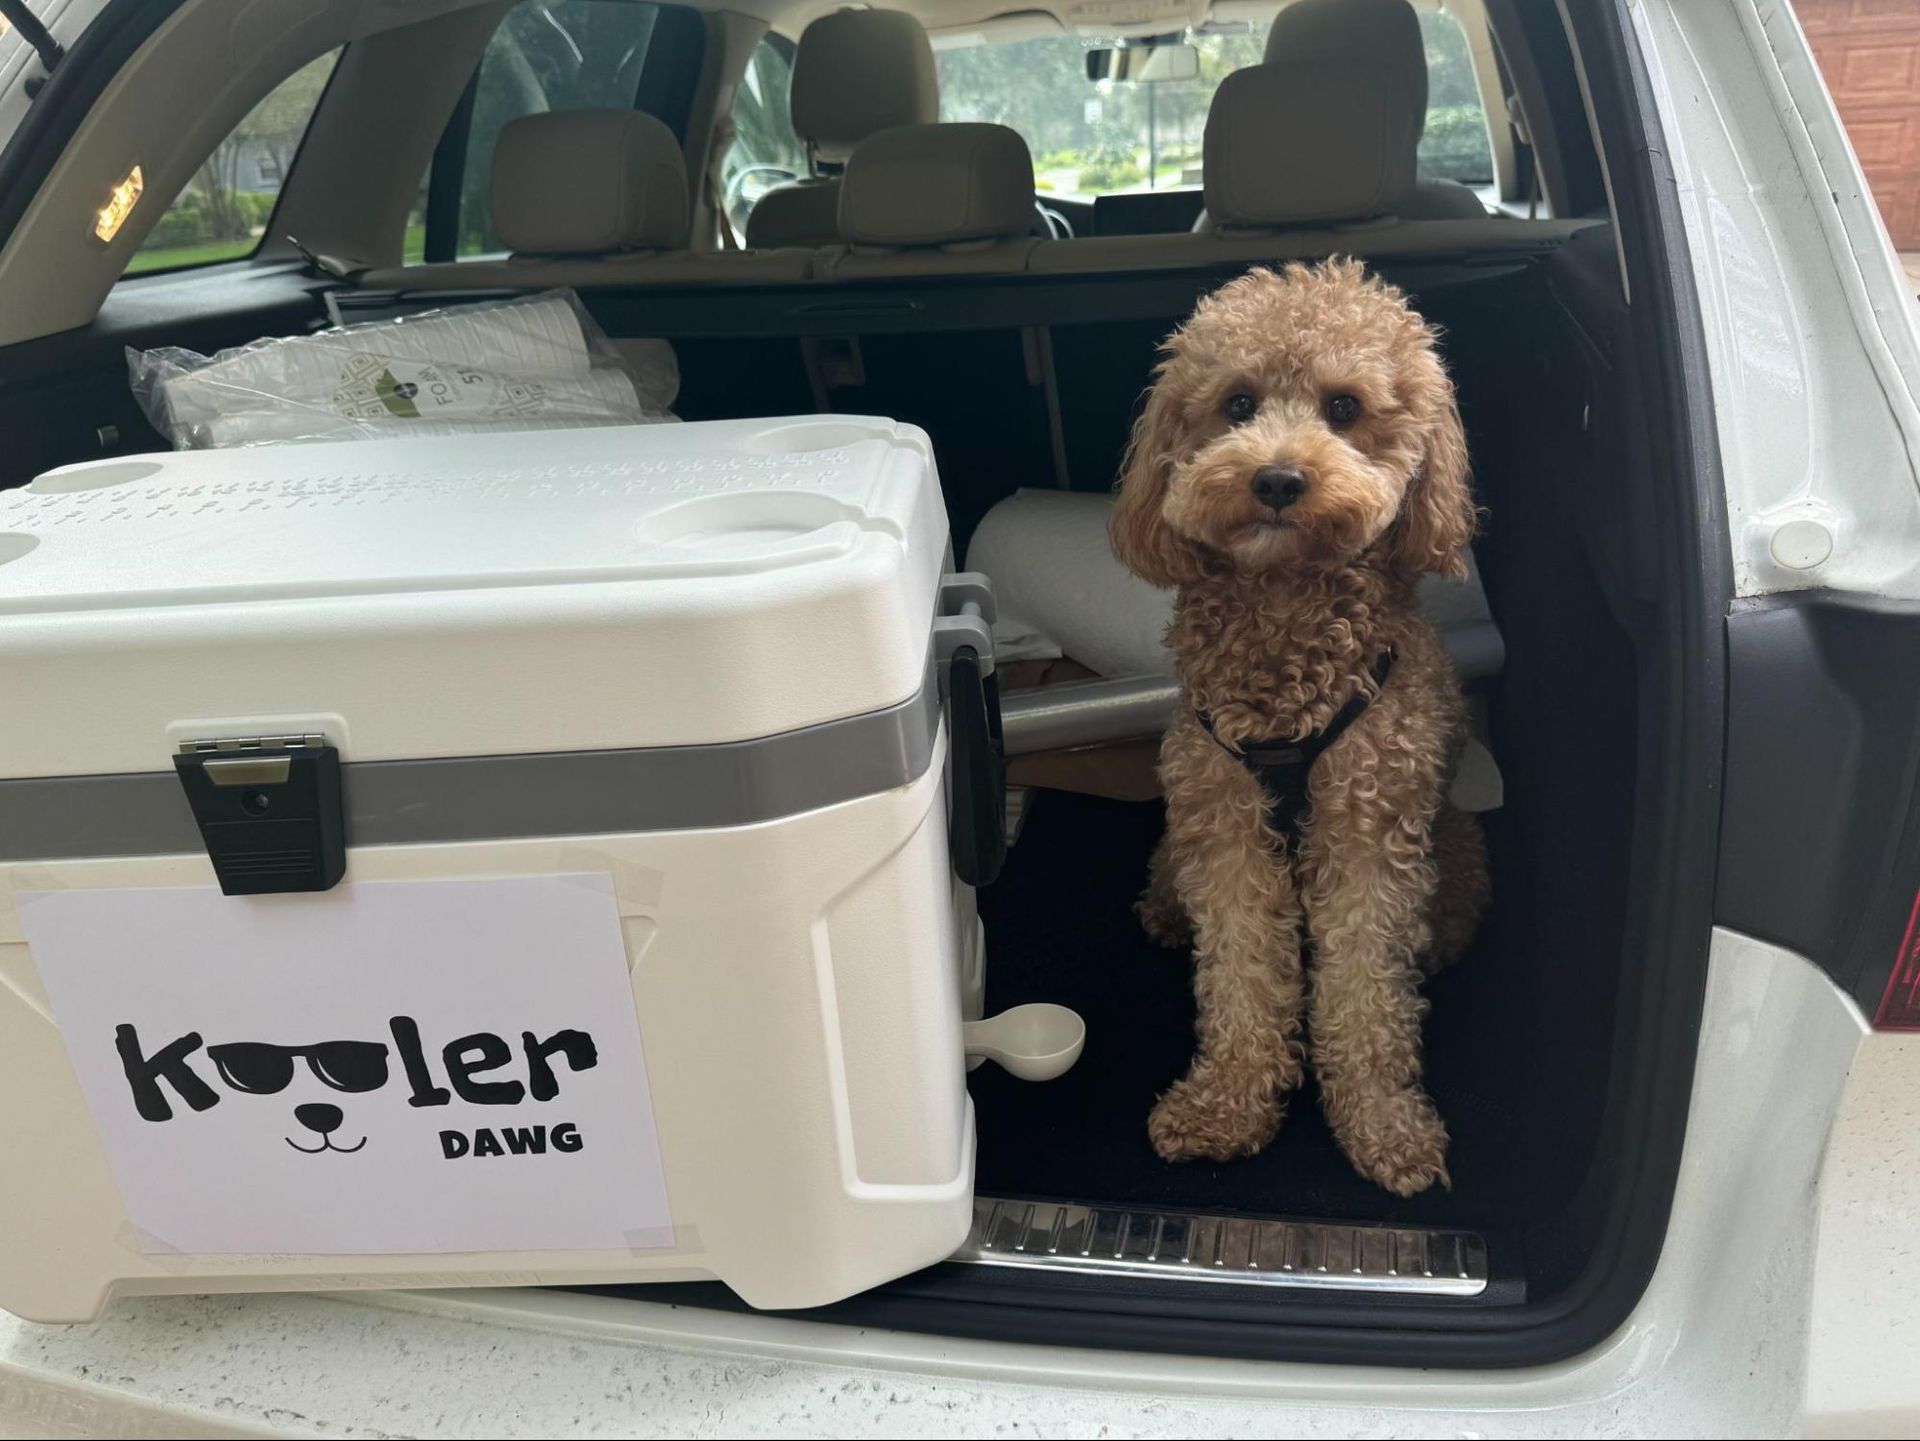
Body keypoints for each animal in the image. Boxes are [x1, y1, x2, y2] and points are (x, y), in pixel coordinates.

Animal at [1110, 259, 1490, 1196]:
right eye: (1238, 403)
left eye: (1344, 406)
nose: (1278, 480)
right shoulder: (1224, 823)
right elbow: (1243, 973)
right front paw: (1226, 1106)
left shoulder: (1370, 831)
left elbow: (1367, 990)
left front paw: (1382, 1122)